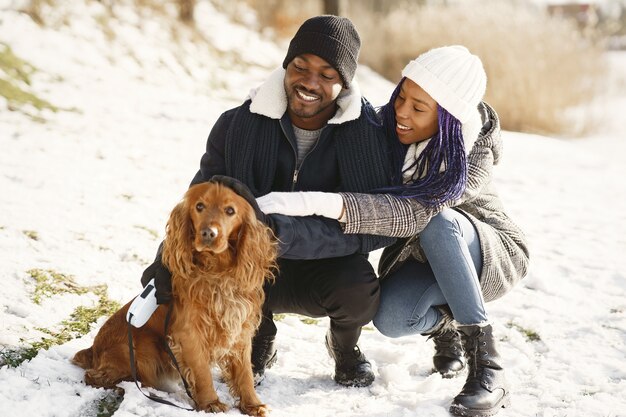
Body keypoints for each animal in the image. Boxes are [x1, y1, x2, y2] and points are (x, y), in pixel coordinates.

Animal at [72, 180, 276, 414]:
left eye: (230, 211)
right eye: (199, 206)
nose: (208, 233)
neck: (217, 273)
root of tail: (93, 349)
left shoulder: (239, 327)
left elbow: (244, 373)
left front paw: (252, 404)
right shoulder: (189, 333)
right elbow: (202, 372)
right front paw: (210, 403)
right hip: (142, 347)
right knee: (96, 376)